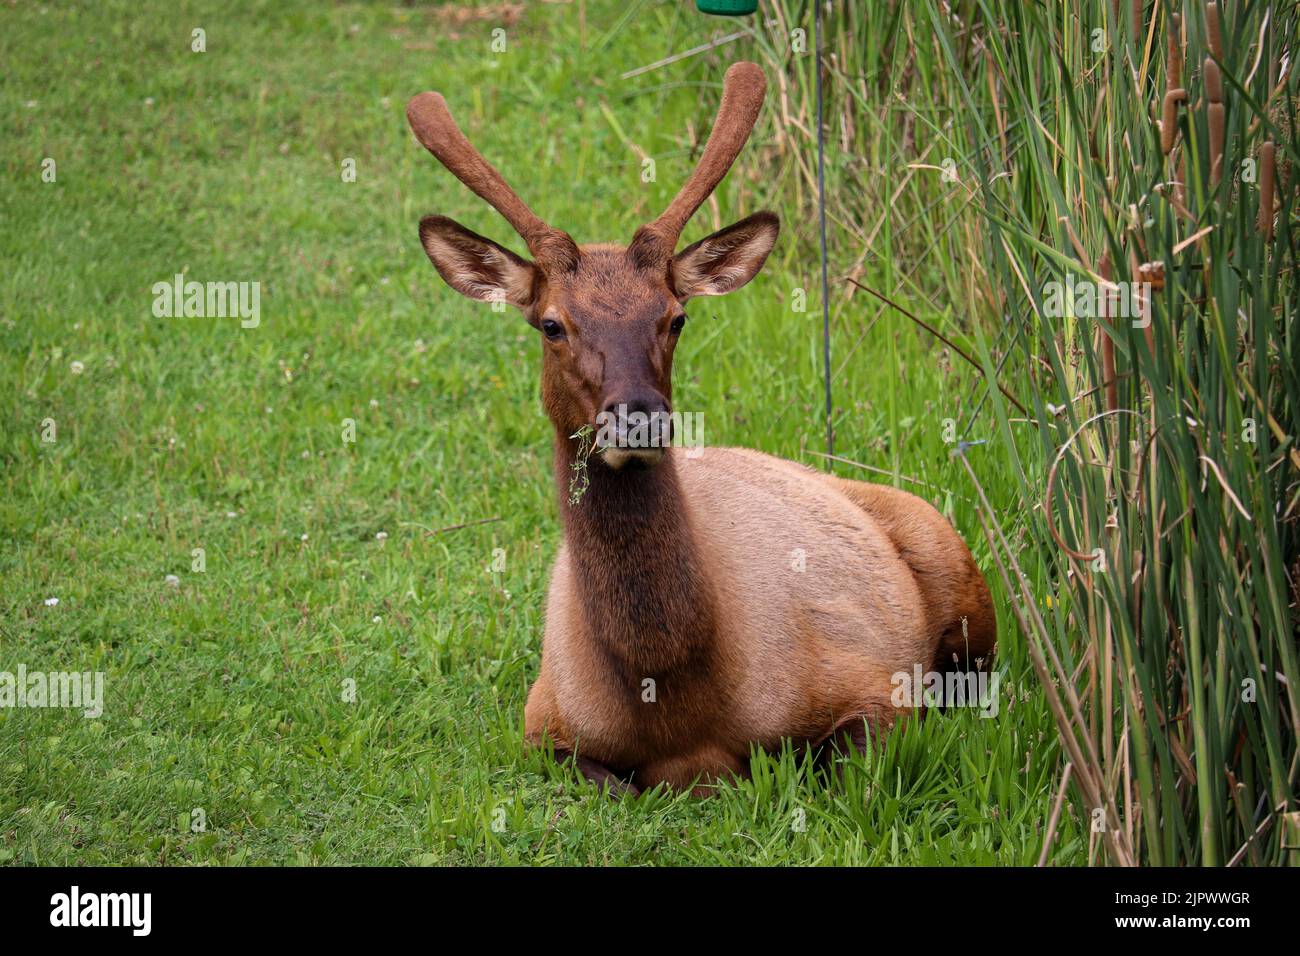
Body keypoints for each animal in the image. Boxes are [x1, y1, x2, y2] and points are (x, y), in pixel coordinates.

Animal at [405, 61, 993, 801]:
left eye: (675, 316)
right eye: (551, 323)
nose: (639, 416)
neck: (675, 693)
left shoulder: (869, 684)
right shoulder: (544, 722)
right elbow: (611, 781)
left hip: (952, 561)